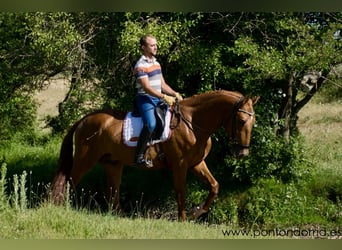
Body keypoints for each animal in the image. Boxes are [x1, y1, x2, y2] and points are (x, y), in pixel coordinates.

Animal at [50, 89, 260, 221]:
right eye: (241, 121)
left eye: (253, 121)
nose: (242, 152)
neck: (193, 124)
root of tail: (85, 119)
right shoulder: (180, 165)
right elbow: (181, 191)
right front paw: (183, 219)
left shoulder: (196, 164)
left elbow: (214, 186)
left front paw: (197, 212)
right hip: (86, 159)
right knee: (69, 182)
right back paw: (62, 208)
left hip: (113, 163)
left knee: (113, 192)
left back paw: (121, 217)